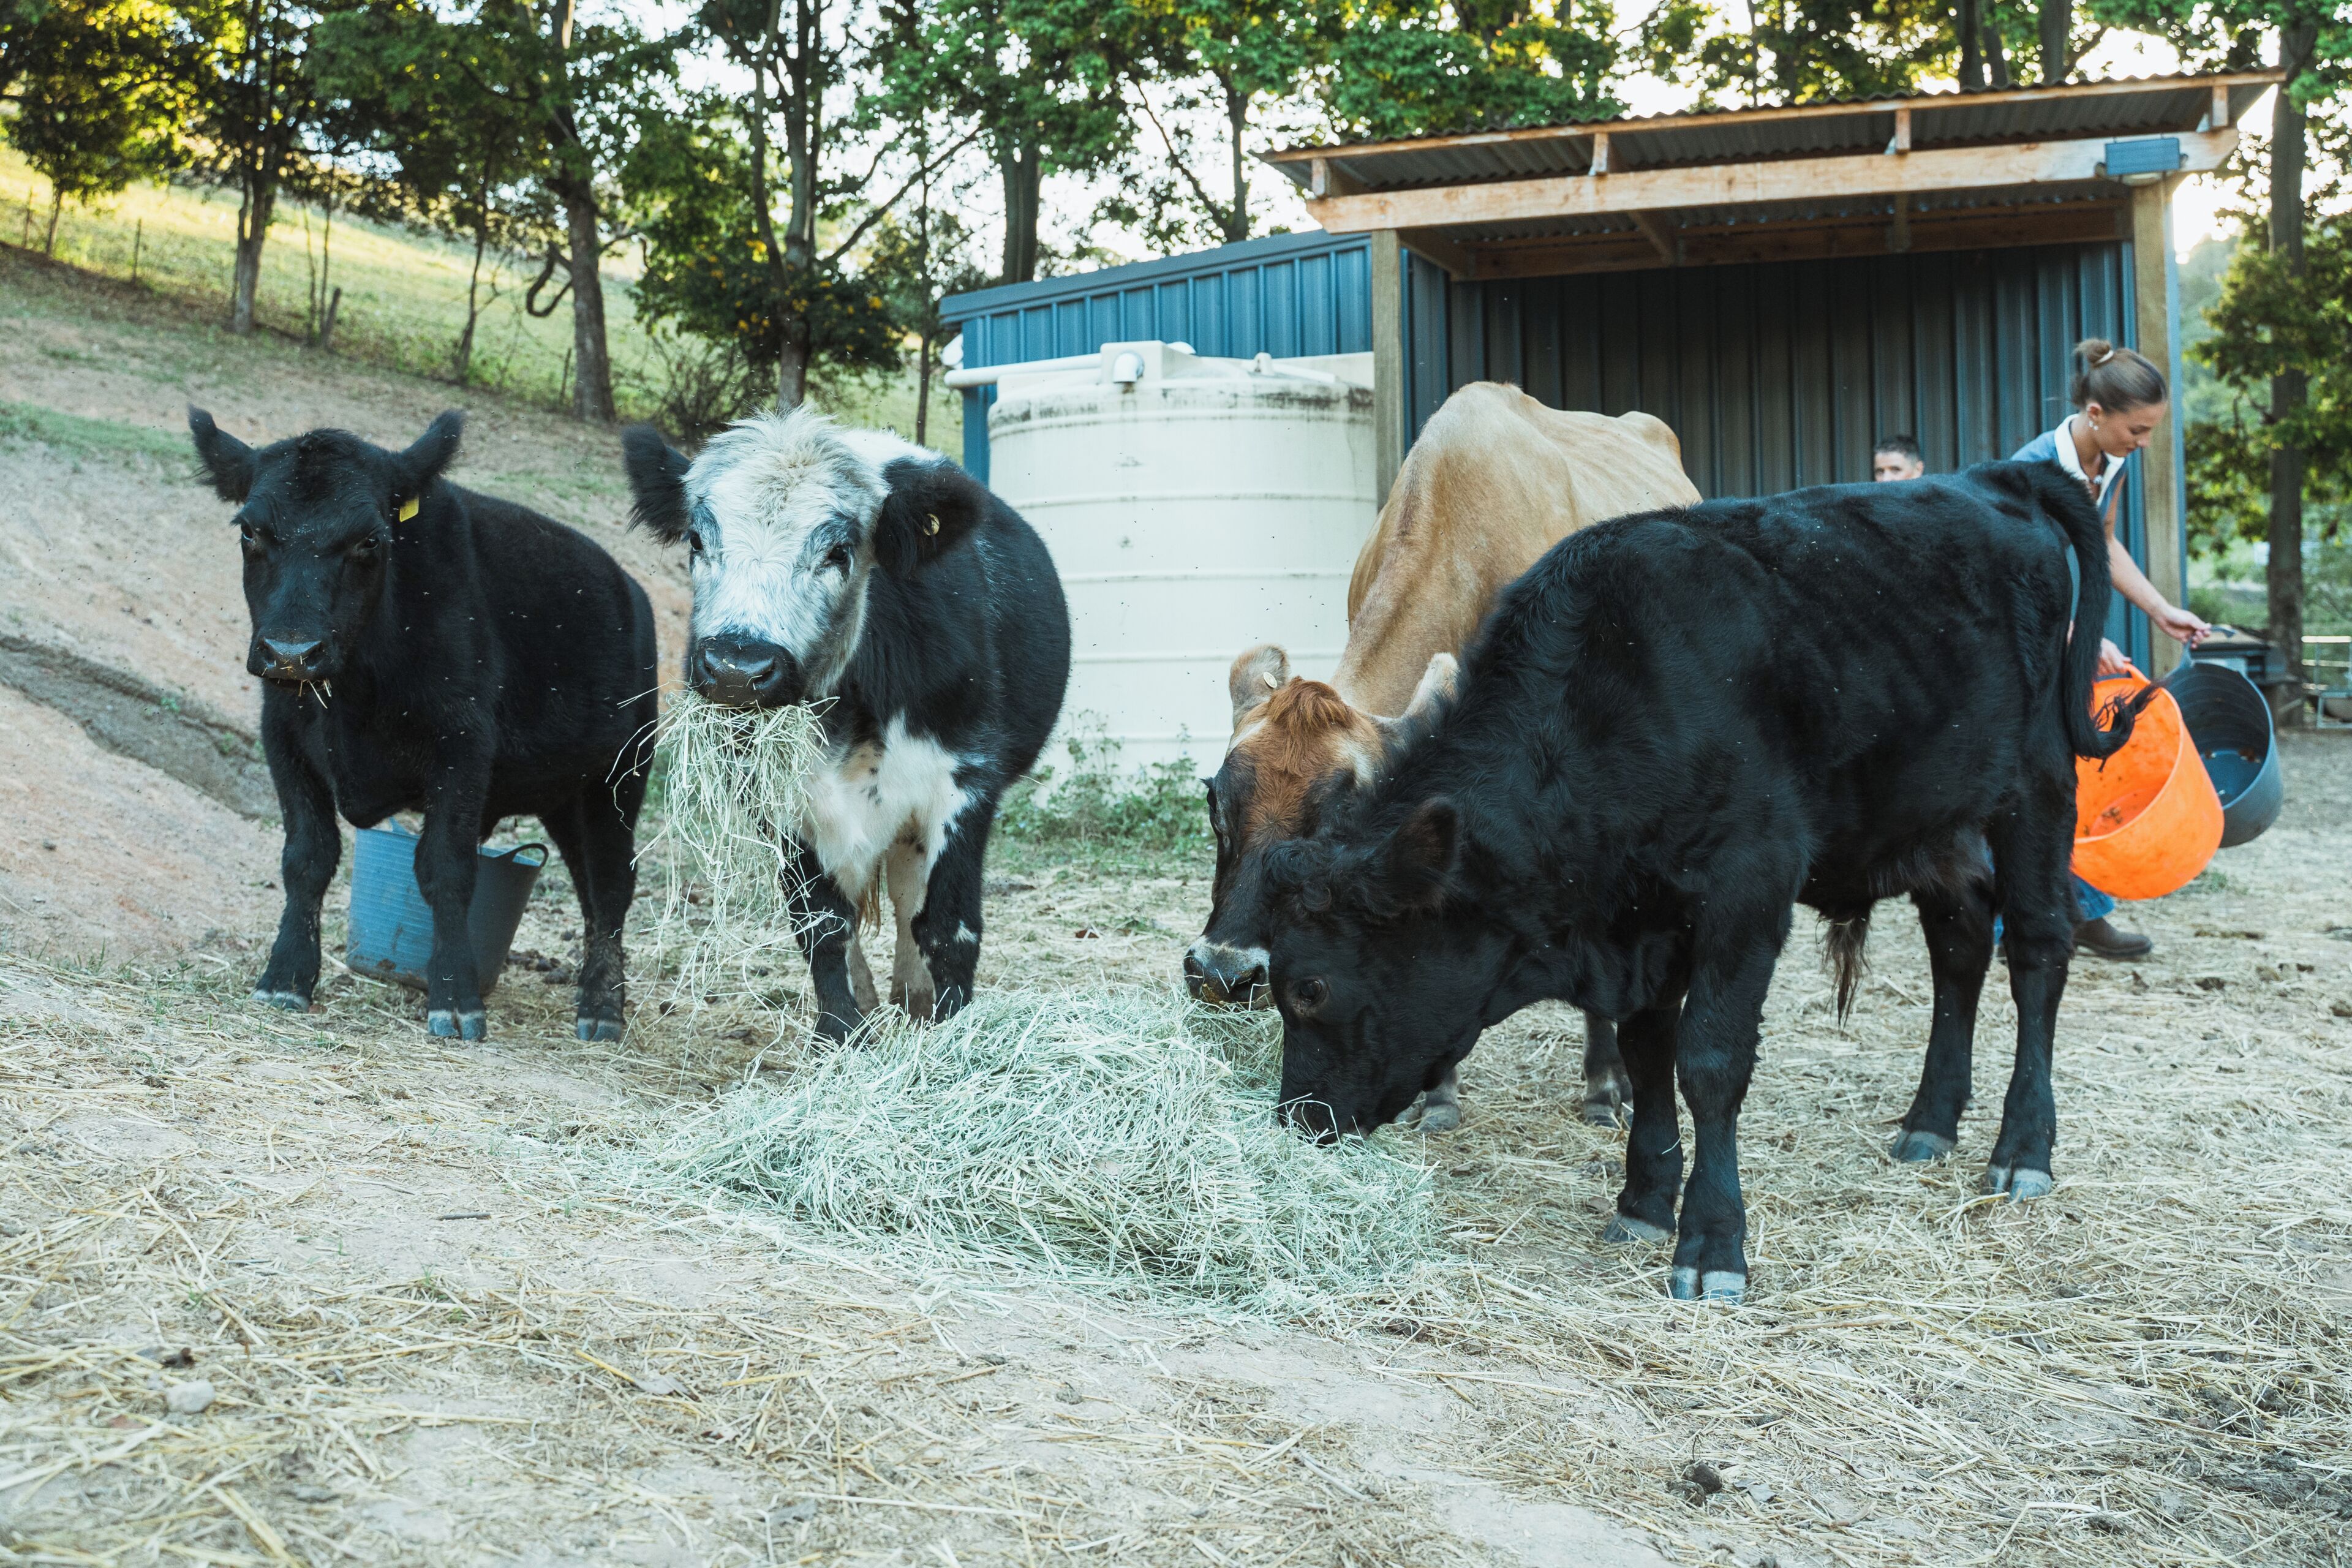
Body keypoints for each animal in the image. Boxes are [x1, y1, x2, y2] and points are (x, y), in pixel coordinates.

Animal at [187, 409, 660, 1042]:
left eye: (370, 541)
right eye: (249, 533)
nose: (291, 653)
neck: (354, 696)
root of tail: (630, 589)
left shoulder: (462, 748)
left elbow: (446, 868)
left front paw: (456, 998)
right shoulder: (283, 736)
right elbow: (307, 857)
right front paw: (286, 977)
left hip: (620, 774)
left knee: (611, 884)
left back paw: (602, 1009)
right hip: (565, 794)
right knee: (588, 886)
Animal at [620, 410, 1069, 1040]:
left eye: (840, 550)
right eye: (697, 539)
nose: (737, 668)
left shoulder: (965, 781)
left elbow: (948, 926)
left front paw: (954, 1034)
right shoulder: (778, 800)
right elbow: (823, 922)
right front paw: (842, 1034)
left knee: (911, 903)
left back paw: (915, 1002)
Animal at [1253, 462, 2144, 1302]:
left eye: (1309, 988)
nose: (1297, 1121)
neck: (1617, 693)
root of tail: (1989, 477)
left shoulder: (1747, 888)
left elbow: (1709, 1060)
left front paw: (1712, 1244)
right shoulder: (1641, 920)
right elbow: (1648, 1052)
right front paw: (1645, 1202)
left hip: (2037, 784)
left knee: (2036, 952)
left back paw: (2023, 1149)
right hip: (1935, 812)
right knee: (1958, 944)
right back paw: (1930, 1122)